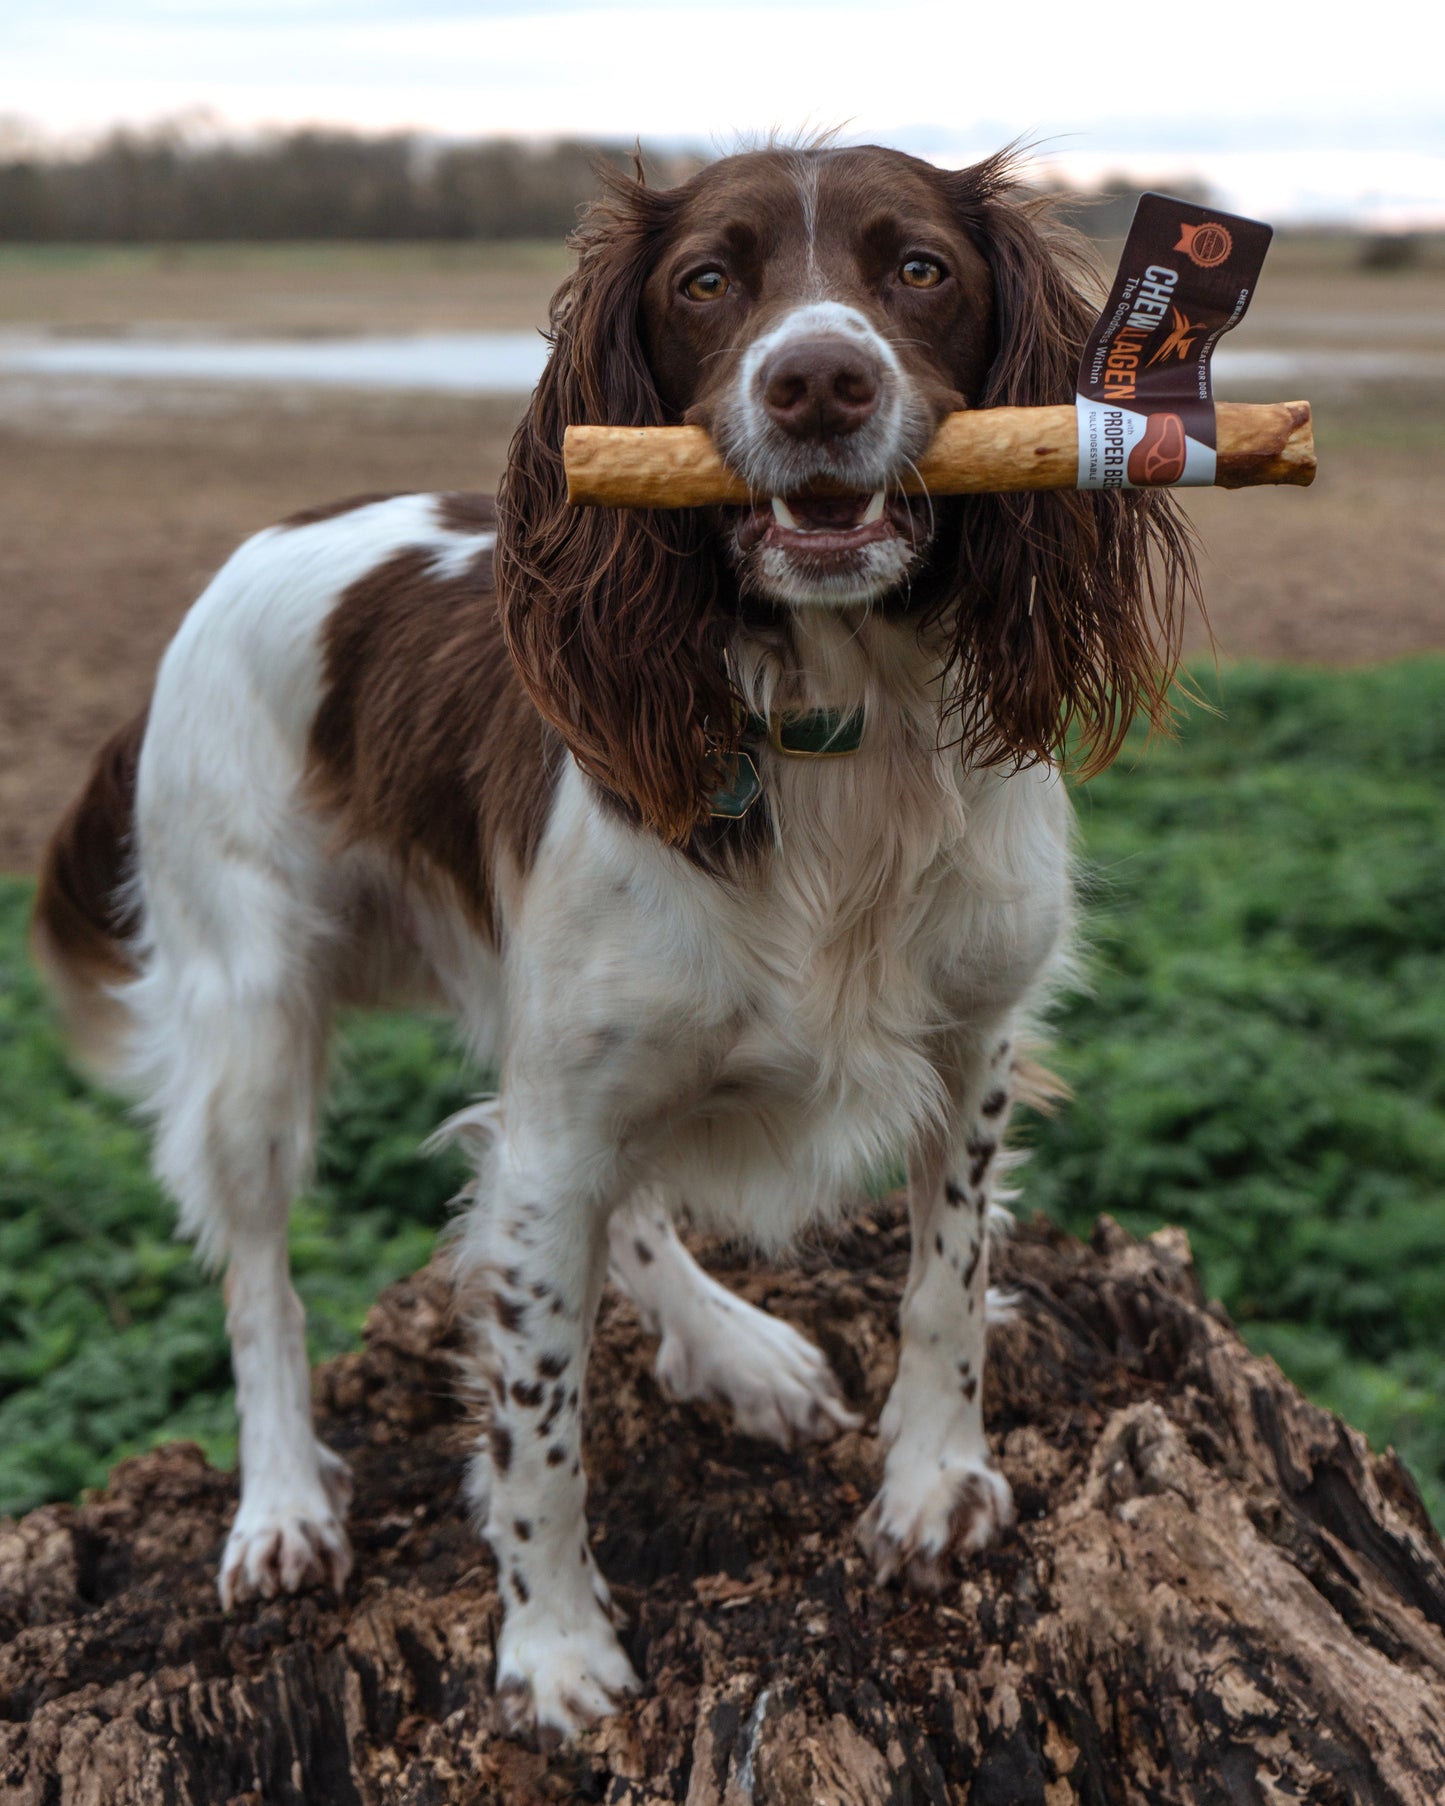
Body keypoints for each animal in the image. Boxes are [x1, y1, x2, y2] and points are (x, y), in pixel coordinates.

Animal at [33, 148, 1192, 1740]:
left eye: (920, 269)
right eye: (705, 281)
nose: (817, 382)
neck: (839, 737)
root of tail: (243, 558)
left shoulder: (974, 1042)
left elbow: (945, 1281)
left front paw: (932, 1485)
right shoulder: (555, 1118)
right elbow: (537, 1423)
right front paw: (554, 1648)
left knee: (577, 1186)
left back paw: (735, 1349)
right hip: (252, 1011)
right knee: (262, 1277)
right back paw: (279, 1507)